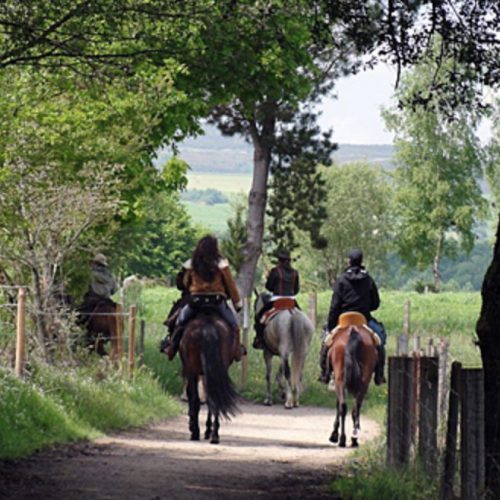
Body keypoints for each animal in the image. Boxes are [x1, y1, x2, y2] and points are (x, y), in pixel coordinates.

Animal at [180, 314, 240, 444]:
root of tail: (208, 326)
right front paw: (207, 430)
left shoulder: (191, 372)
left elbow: (193, 397)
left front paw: (193, 426)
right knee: (214, 399)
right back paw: (214, 435)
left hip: (193, 370)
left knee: (196, 398)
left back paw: (197, 432)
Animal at [326, 310, 376, 448]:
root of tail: (353, 330)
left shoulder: (337, 382)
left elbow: (338, 405)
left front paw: (334, 434)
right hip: (364, 382)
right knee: (355, 408)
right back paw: (353, 438)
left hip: (340, 380)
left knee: (344, 406)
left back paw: (342, 439)